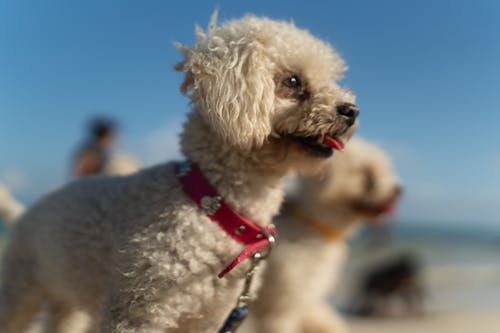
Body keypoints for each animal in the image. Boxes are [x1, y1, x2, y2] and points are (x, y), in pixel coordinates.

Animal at [0, 14, 360, 330]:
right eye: (294, 81)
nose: (352, 111)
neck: (216, 206)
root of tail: (25, 212)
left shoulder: (210, 318)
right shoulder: (138, 312)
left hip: (67, 299)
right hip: (19, 289)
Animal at [247, 137, 402, 332]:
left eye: (386, 169)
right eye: (366, 171)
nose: (399, 190)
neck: (314, 226)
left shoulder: (306, 301)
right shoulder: (280, 308)